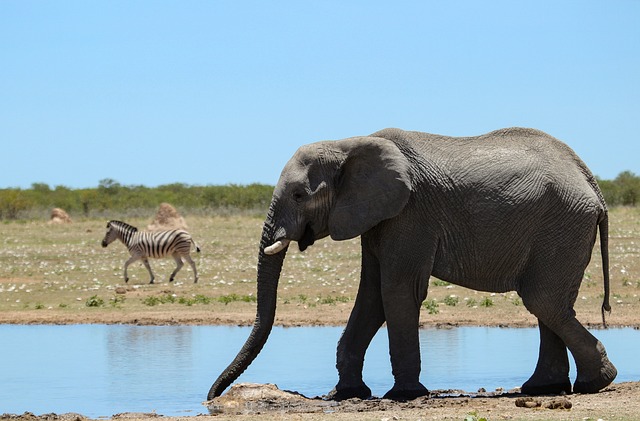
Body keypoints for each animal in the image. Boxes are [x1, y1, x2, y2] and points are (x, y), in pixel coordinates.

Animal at [209, 127, 616, 400]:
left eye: (298, 195)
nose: (211, 397)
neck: (348, 143)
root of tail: (592, 183)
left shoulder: (410, 214)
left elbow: (397, 291)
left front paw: (403, 395)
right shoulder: (378, 218)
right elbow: (371, 296)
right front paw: (348, 394)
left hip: (562, 224)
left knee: (543, 300)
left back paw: (596, 382)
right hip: (560, 228)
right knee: (549, 304)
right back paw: (546, 387)